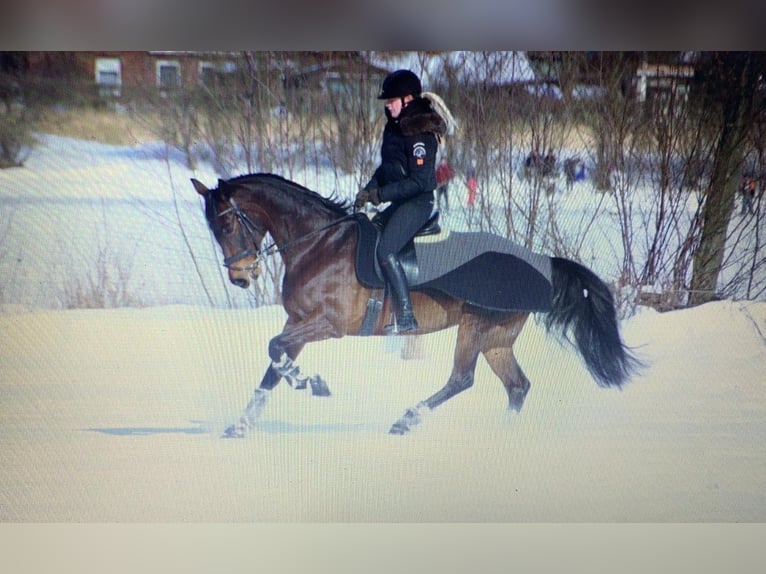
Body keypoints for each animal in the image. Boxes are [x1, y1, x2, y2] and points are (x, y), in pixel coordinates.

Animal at [194, 173, 640, 438]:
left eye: (228, 223)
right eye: (214, 228)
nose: (240, 277)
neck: (319, 243)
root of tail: (540, 260)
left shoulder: (328, 324)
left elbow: (274, 348)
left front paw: (315, 384)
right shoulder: (298, 322)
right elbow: (274, 364)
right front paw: (239, 427)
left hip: (476, 325)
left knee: (462, 379)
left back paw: (405, 420)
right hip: (497, 337)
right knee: (517, 385)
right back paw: (502, 434)